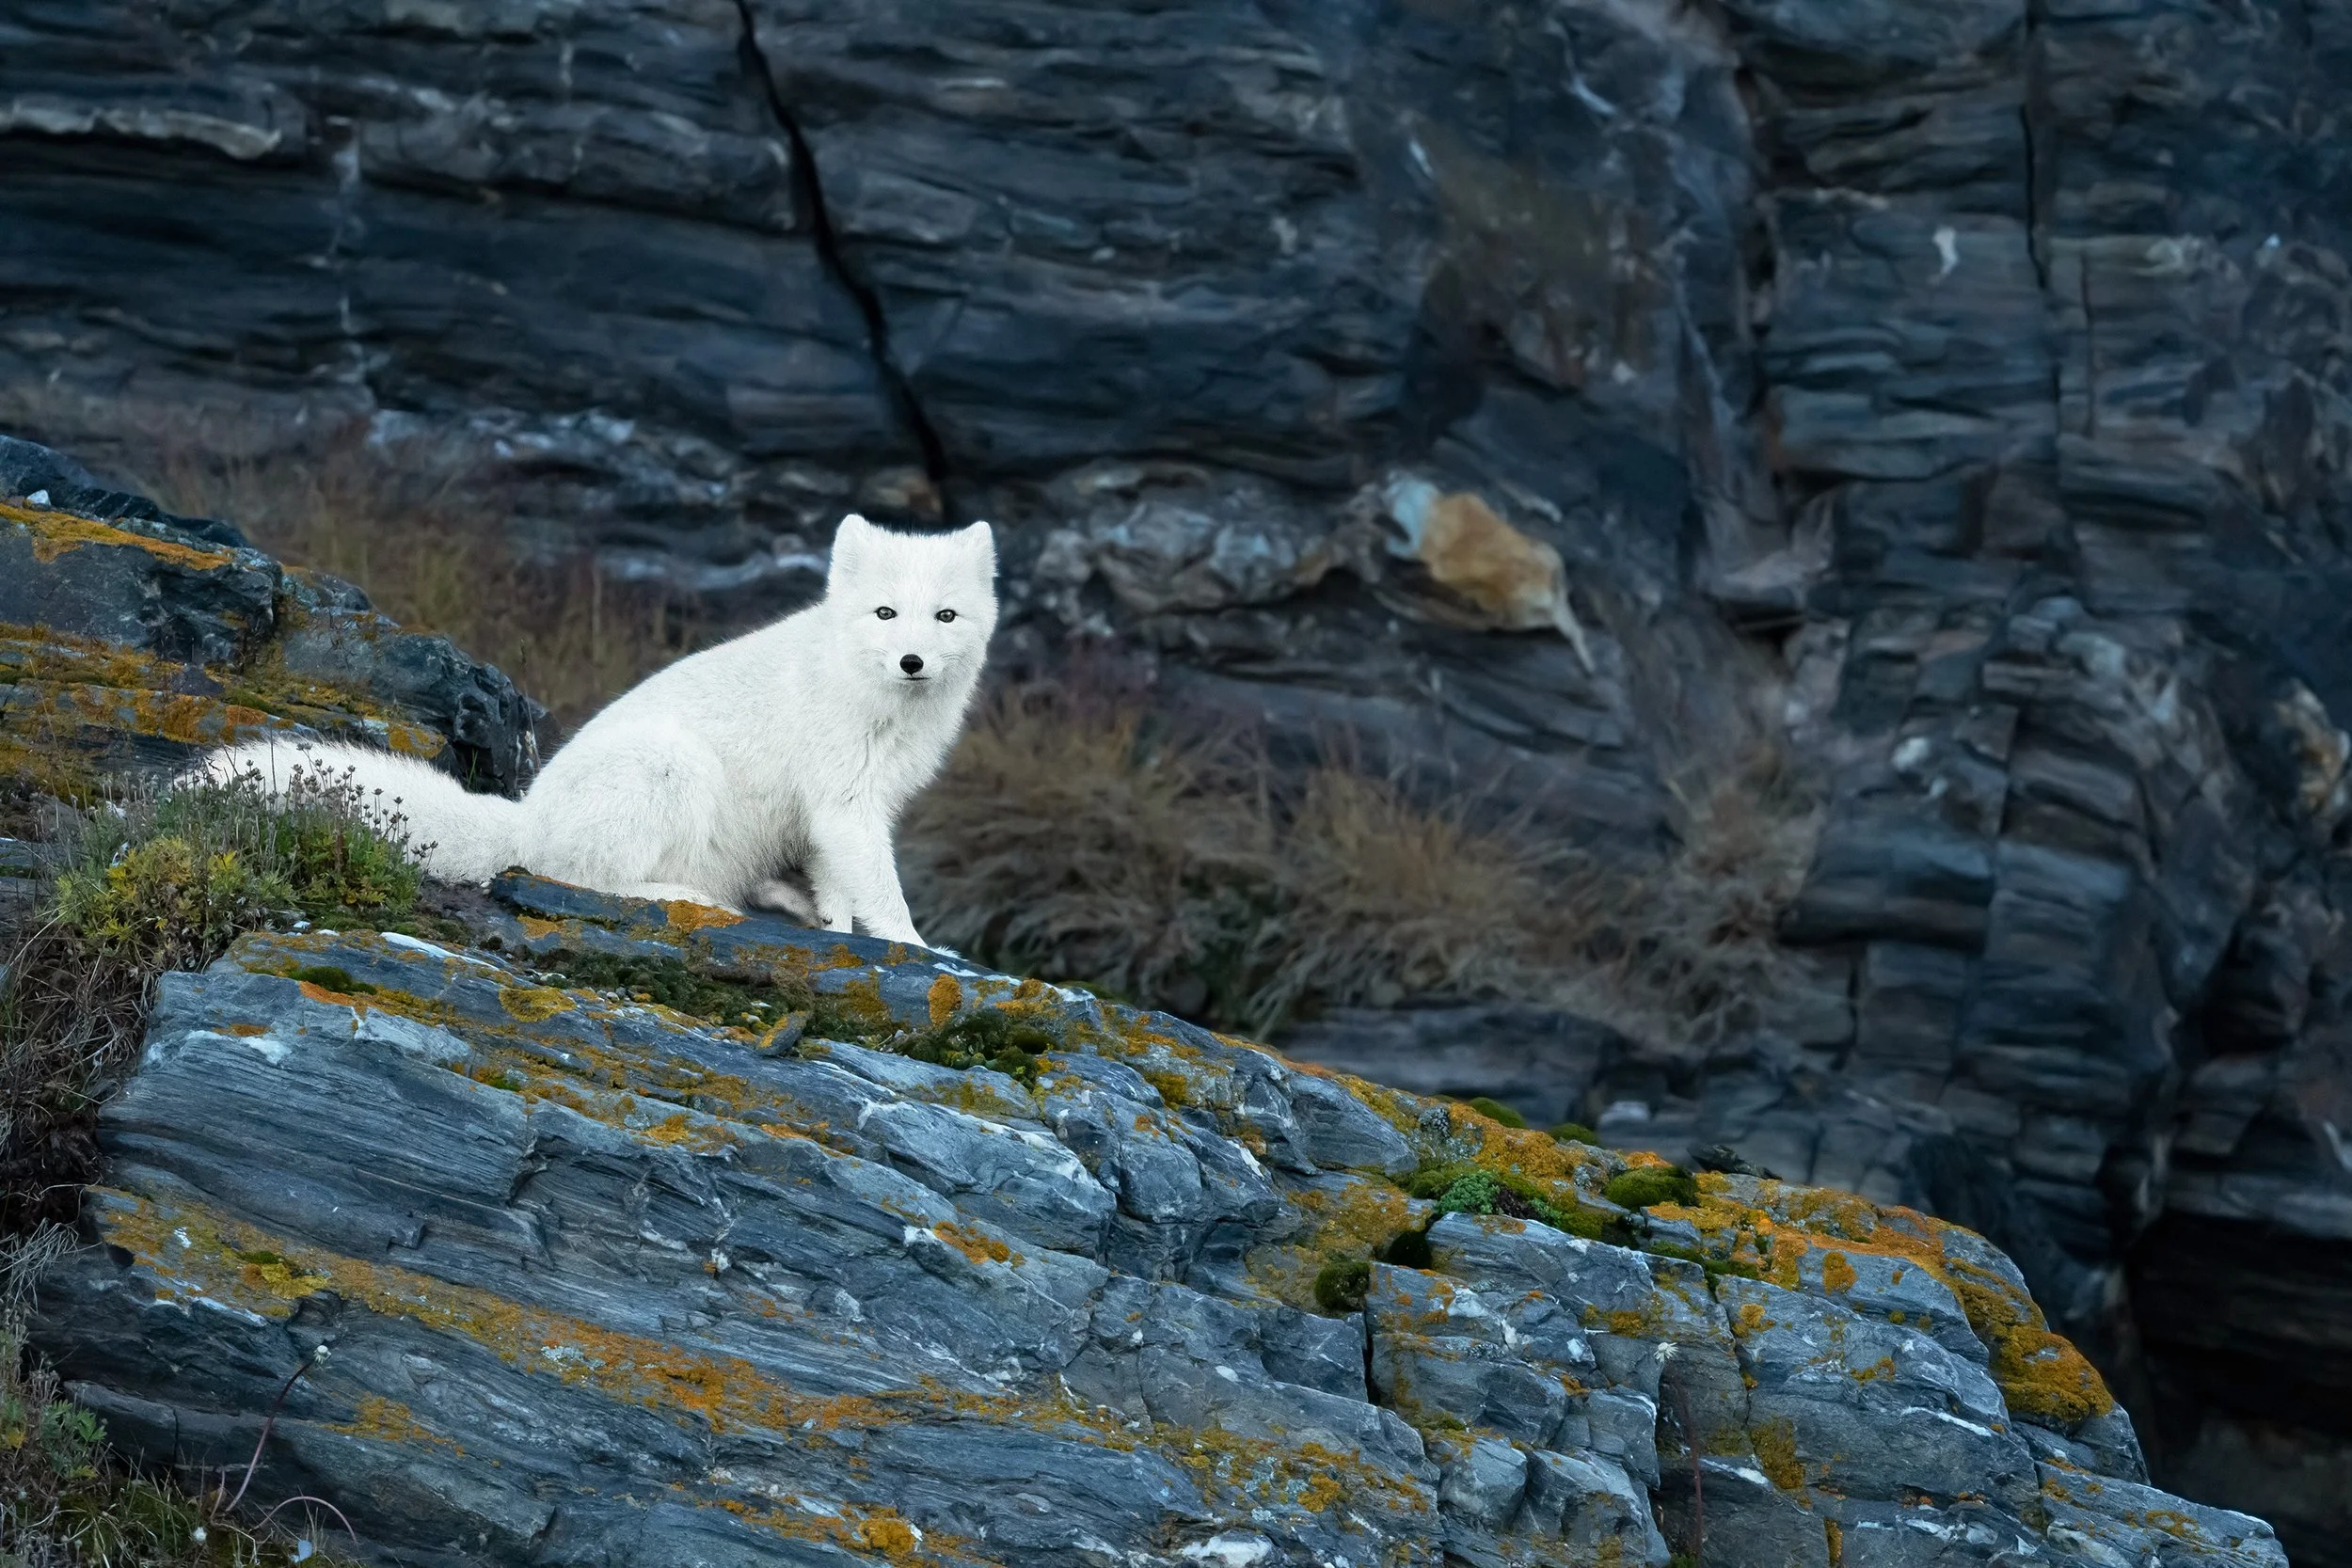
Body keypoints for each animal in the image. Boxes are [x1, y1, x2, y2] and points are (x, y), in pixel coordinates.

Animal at [196, 513, 997, 948]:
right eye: (886, 613)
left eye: (946, 615)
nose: (913, 661)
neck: (880, 704)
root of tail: (528, 815)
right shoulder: (845, 797)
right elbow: (881, 887)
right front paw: (913, 944)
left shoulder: (844, 807)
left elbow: (839, 884)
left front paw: (834, 924)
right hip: (671, 767)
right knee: (582, 875)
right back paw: (687, 897)